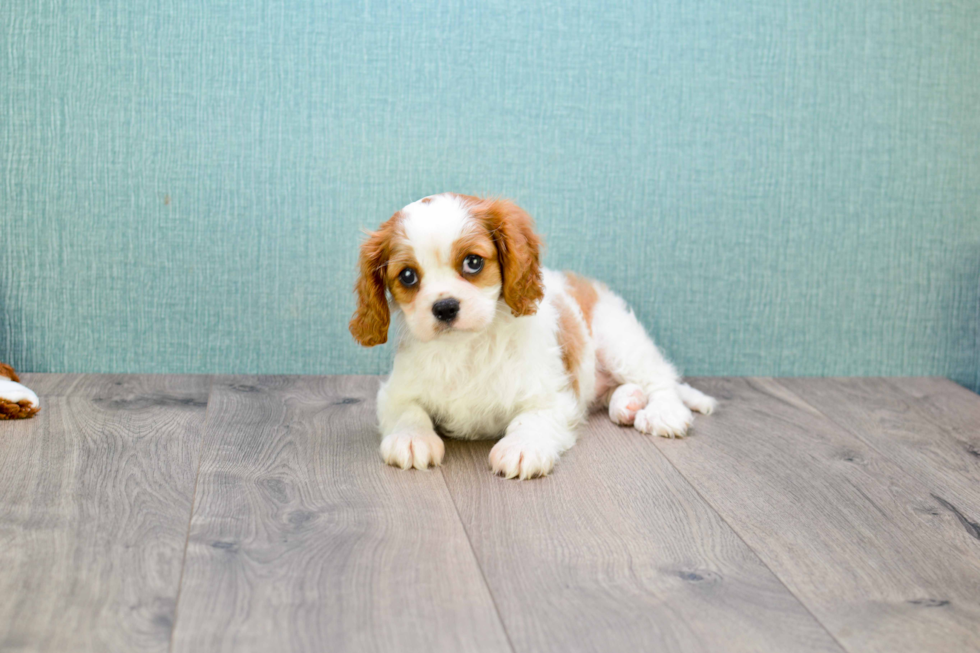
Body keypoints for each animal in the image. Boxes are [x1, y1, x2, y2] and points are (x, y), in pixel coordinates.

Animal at [348, 194, 716, 478]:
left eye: (473, 262)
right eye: (407, 276)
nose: (445, 307)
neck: (467, 346)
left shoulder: (552, 397)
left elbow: (531, 419)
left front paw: (522, 448)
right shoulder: (396, 391)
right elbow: (408, 411)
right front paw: (411, 438)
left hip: (618, 341)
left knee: (661, 379)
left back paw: (662, 412)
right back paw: (627, 402)